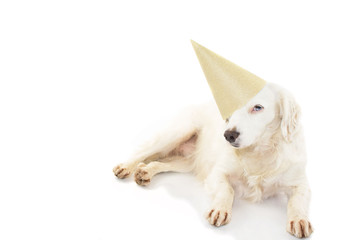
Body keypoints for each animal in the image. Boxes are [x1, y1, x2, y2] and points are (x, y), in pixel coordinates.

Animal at [112, 82, 312, 238]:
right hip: (176, 132)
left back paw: (145, 171)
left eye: (258, 107)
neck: (259, 152)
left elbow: (298, 201)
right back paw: (125, 167)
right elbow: (227, 190)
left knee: (157, 162)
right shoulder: (217, 173)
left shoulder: (301, 183)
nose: (228, 135)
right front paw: (220, 210)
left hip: (187, 162)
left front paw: (299, 220)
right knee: (142, 152)